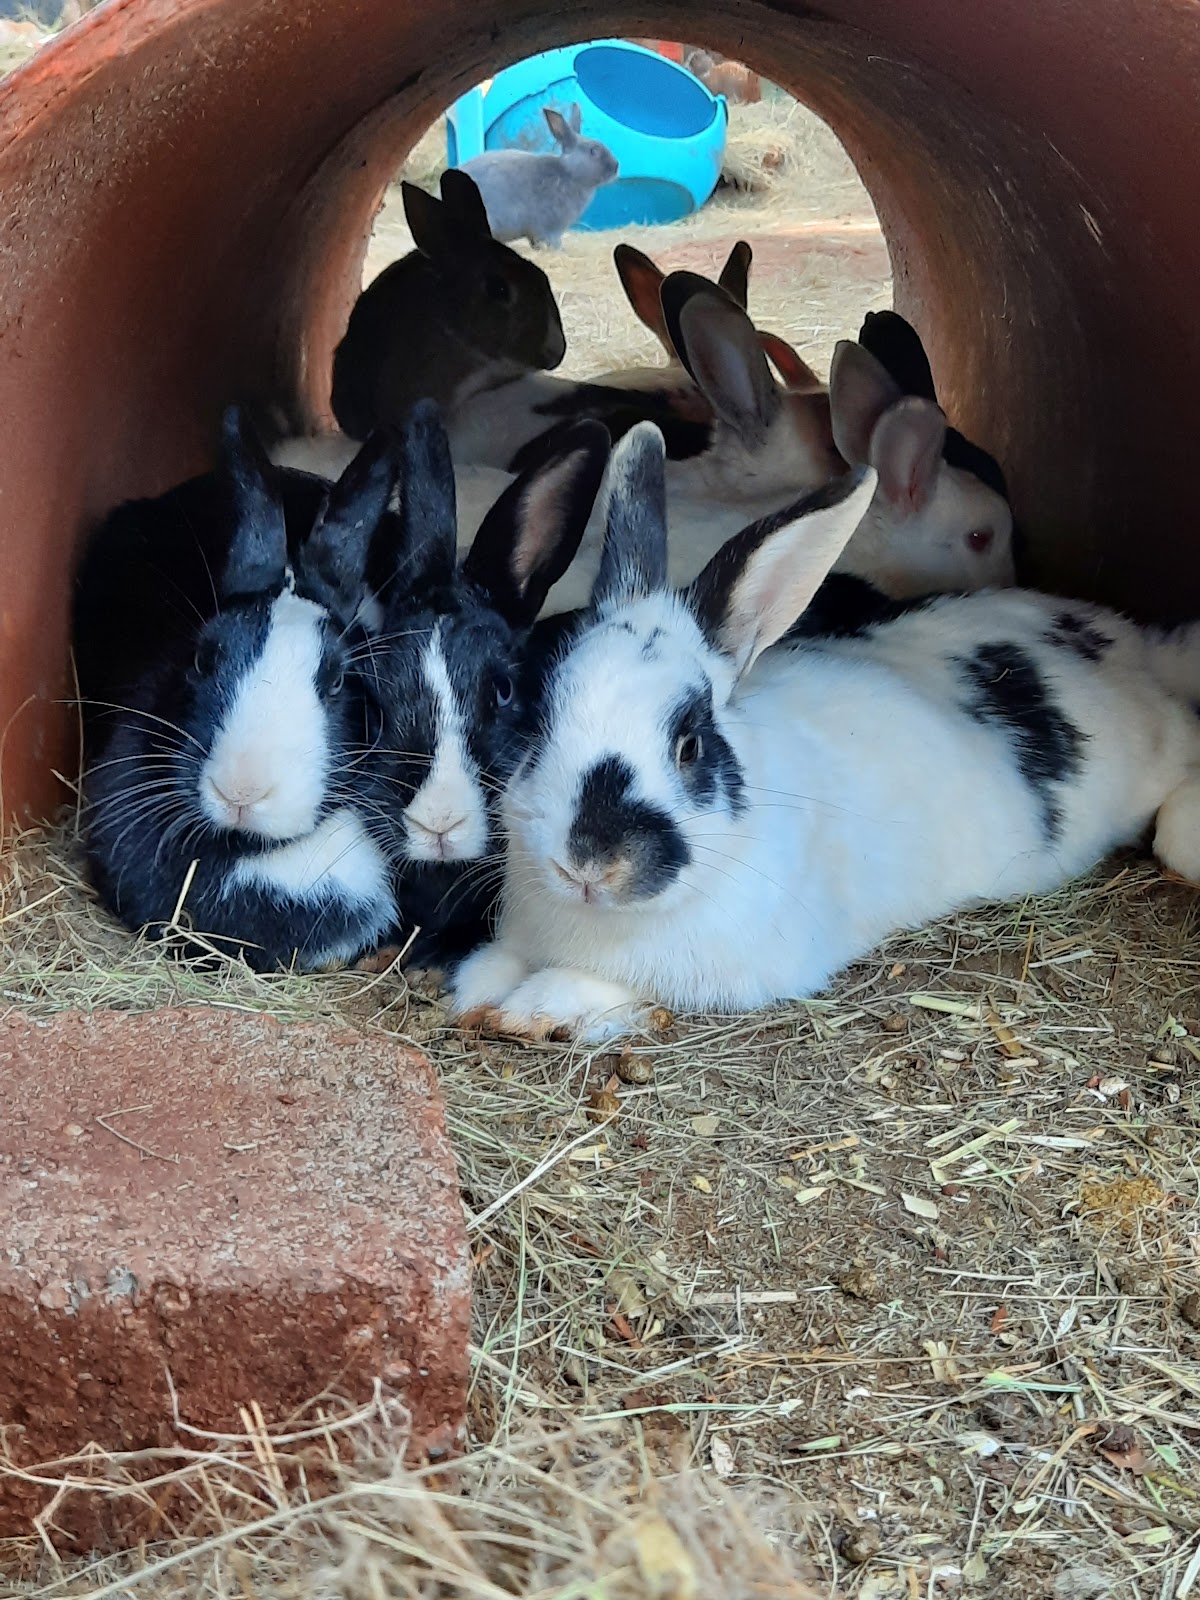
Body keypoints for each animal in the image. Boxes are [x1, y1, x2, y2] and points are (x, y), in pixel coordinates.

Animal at [450, 422, 1200, 1042]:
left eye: (690, 744)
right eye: (538, 722)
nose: (588, 864)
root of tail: (1131, 646)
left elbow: (603, 985)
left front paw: (532, 1007)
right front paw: (478, 991)